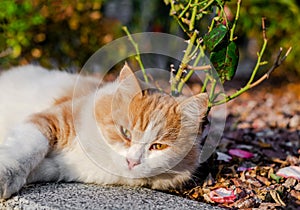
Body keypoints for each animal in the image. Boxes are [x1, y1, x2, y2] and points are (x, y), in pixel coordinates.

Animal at [0, 63, 209, 199]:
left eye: (158, 146)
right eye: (125, 132)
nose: (132, 161)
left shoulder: (64, 169)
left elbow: (41, 169)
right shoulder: (50, 120)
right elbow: (28, 150)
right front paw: (6, 176)